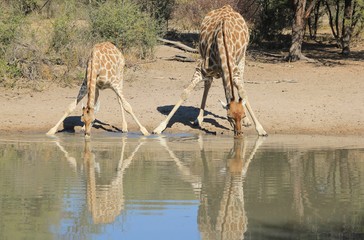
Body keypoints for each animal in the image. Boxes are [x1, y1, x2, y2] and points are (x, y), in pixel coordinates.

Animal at [154, 5, 268, 137]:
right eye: (230, 116)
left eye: (243, 115)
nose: (239, 134)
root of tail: (227, 6)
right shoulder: (200, 69)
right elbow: (185, 93)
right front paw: (159, 127)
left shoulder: (234, 73)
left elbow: (243, 93)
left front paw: (260, 129)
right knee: (208, 84)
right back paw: (198, 119)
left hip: (242, 57)